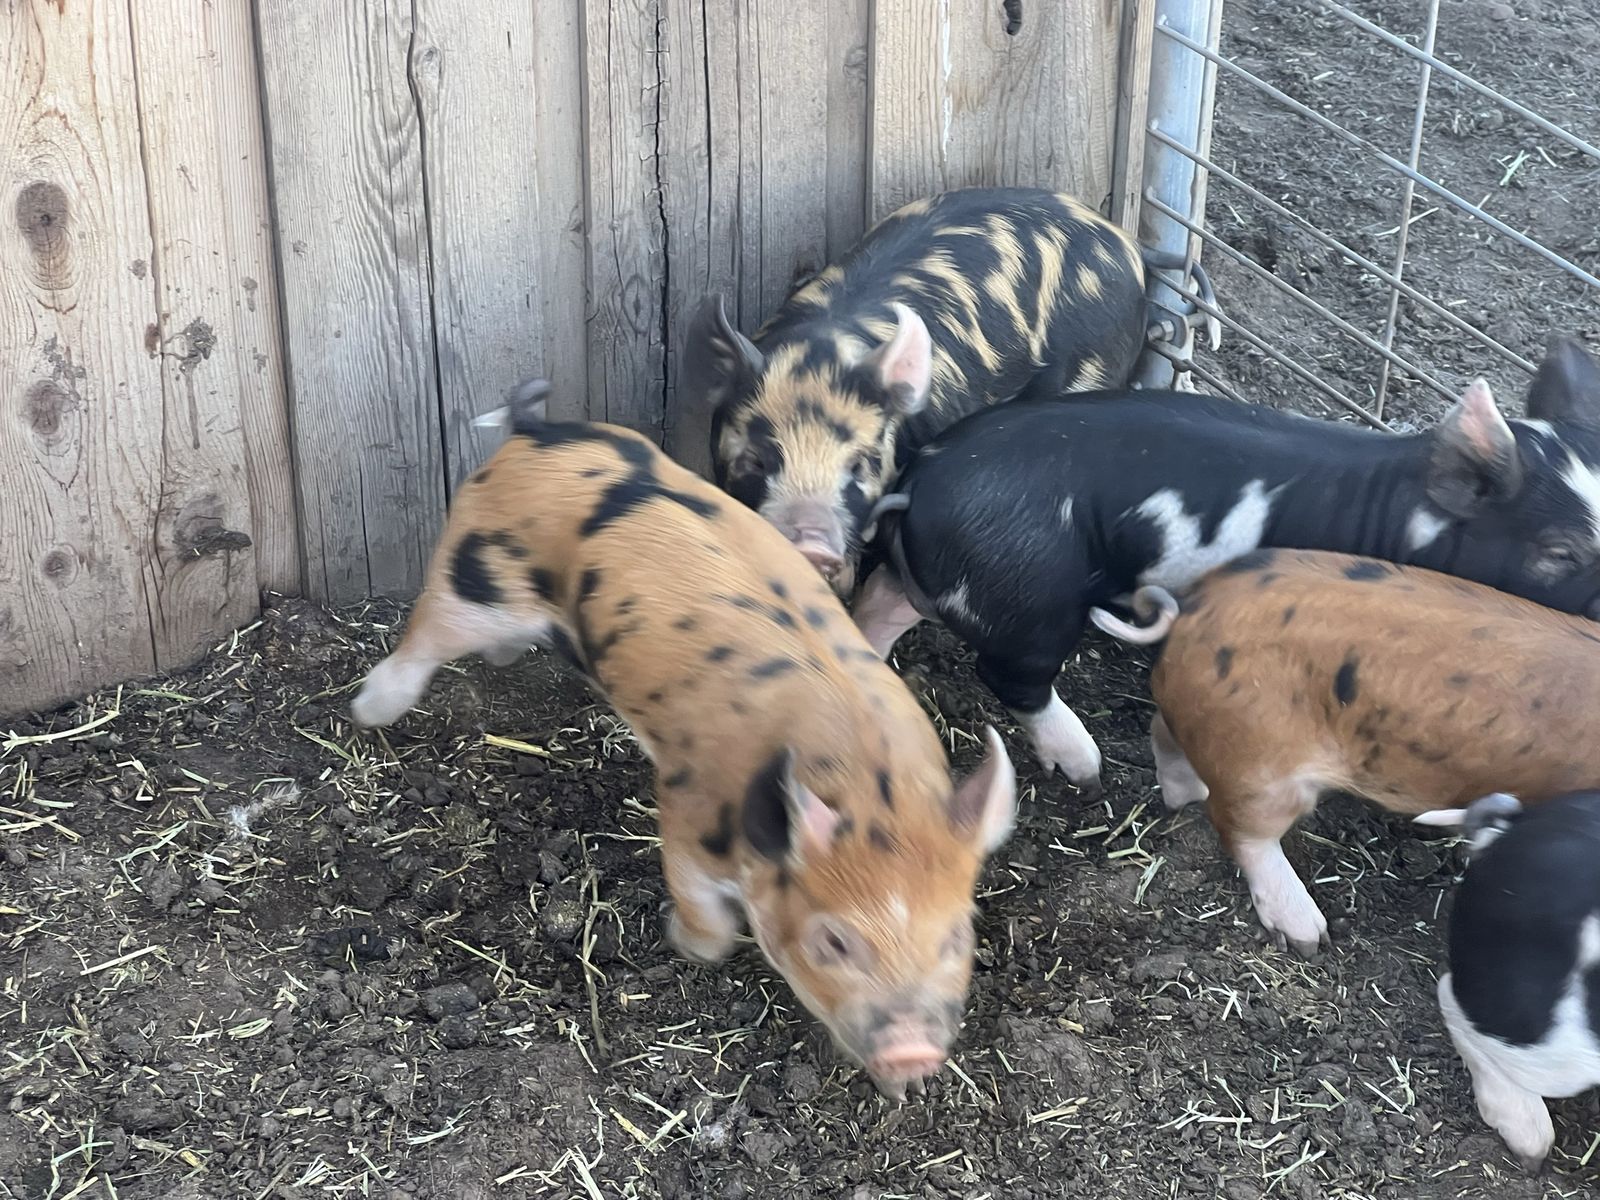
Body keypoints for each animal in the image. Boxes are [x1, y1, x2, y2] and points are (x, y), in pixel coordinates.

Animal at [349, 383, 1017, 1100]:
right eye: (834, 942)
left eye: (956, 938)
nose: (912, 1052)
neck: (868, 780)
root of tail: (534, 432)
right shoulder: (687, 806)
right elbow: (703, 905)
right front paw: (689, 944)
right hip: (474, 575)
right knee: (426, 633)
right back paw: (369, 710)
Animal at [857, 338, 1600, 798]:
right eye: (1560, 551)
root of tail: (919, 484)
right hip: (1027, 593)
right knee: (1013, 676)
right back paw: (1087, 767)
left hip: (927, 580)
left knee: (878, 613)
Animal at [1087, 548, 1600, 957]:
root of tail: (1197, 602)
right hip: (1263, 766)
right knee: (1240, 830)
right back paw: (1308, 937)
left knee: (1164, 730)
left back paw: (1182, 796)